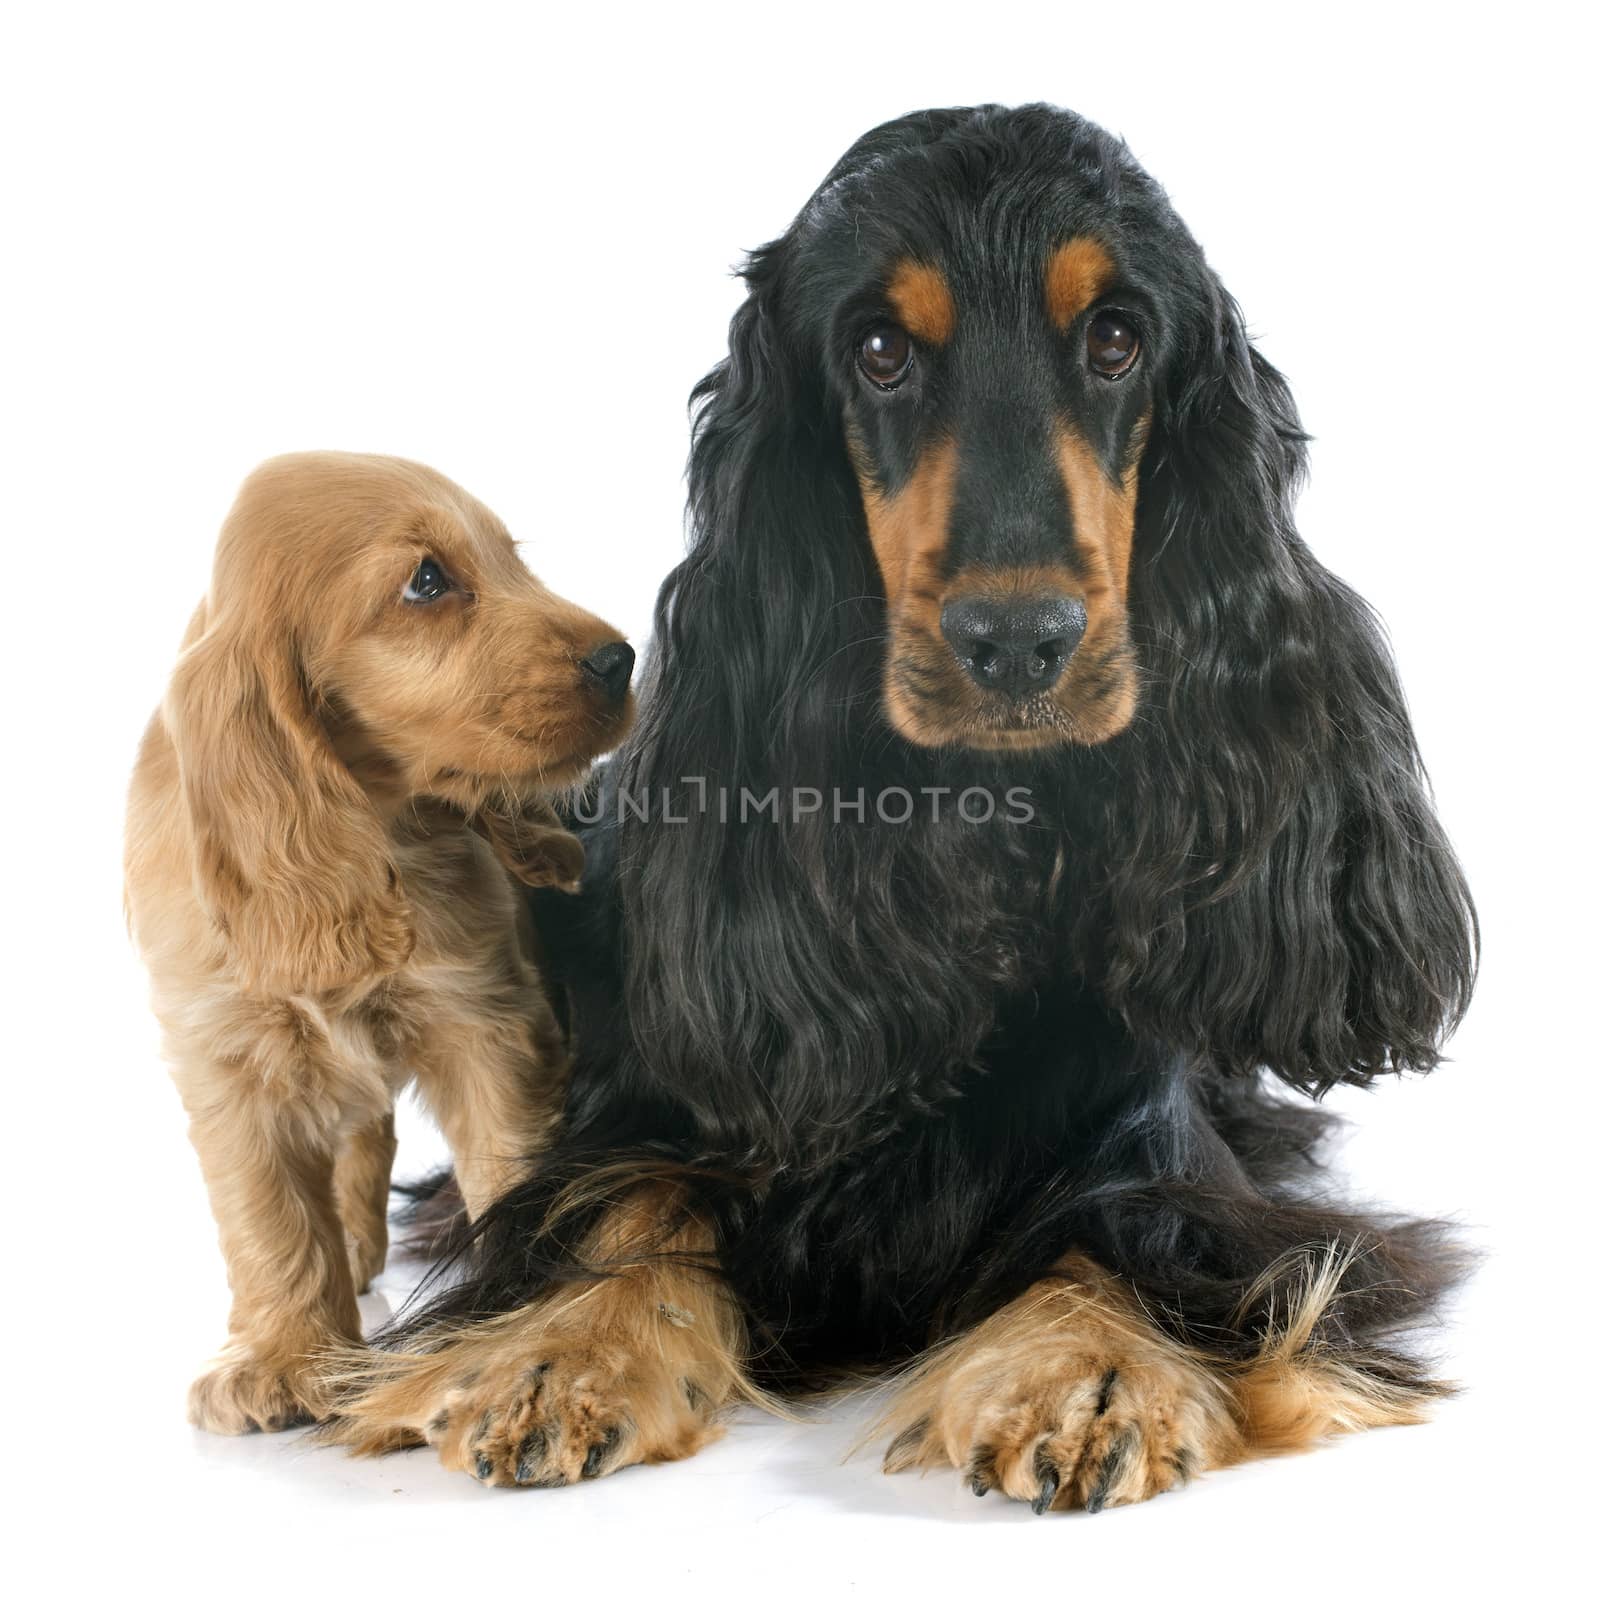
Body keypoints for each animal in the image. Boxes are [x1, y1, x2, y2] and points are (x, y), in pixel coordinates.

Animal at [126, 454, 636, 1440]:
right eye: (426, 581)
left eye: (511, 558)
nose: (621, 659)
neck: (371, 833)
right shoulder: (224, 1057)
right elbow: (266, 1215)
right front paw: (281, 1358)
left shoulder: (487, 1022)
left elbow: (509, 1167)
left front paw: (504, 1308)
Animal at [328, 103, 1472, 1510]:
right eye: (877, 351)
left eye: (1116, 339)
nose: (1017, 643)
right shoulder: (660, 1109)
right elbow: (632, 1202)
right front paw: (563, 1351)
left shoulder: (1172, 1155)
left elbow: (1128, 1228)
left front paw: (1089, 1374)